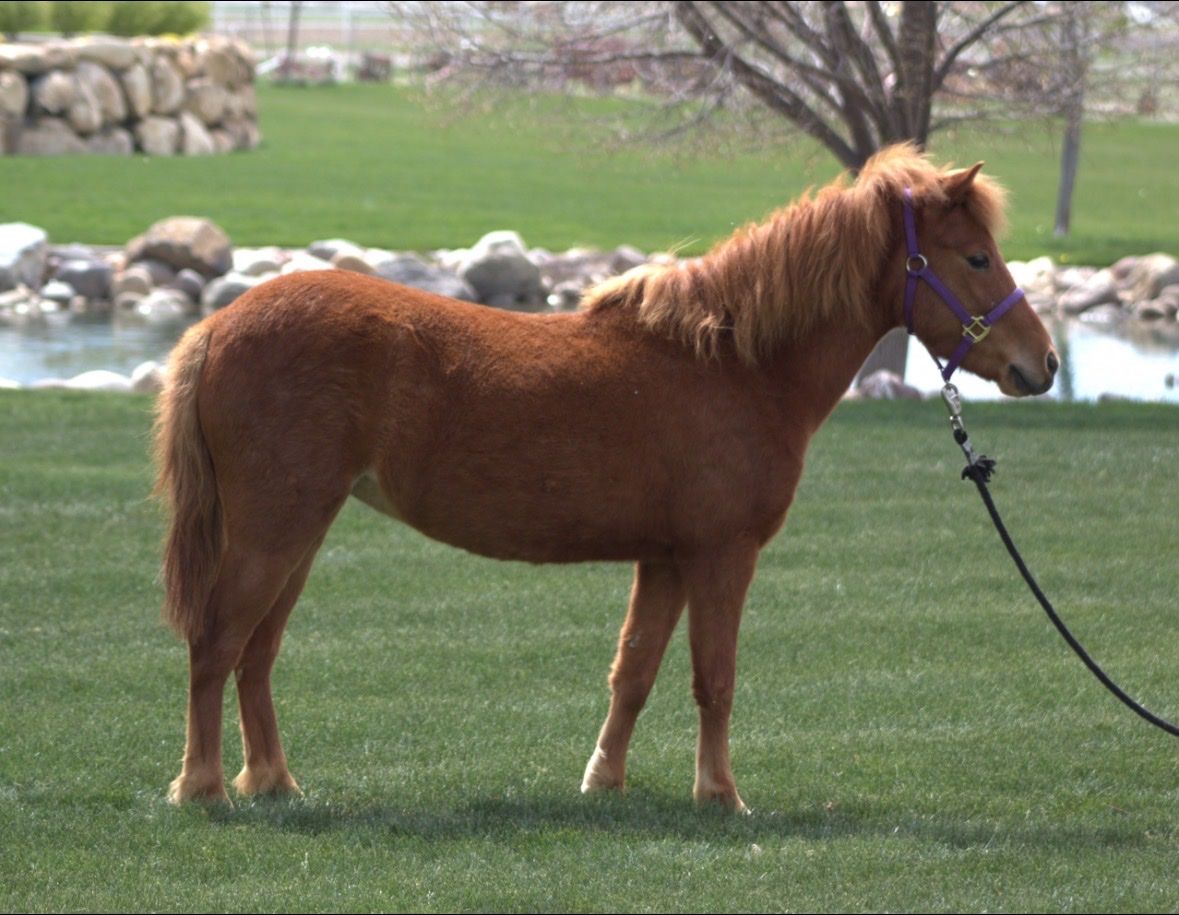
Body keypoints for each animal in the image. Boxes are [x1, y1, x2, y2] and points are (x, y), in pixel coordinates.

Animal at [154, 144, 1058, 811]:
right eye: (976, 256)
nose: (1042, 363)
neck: (734, 363)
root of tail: (219, 324)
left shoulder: (663, 558)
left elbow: (634, 671)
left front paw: (605, 781)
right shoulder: (721, 555)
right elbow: (713, 678)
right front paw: (720, 795)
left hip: (300, 531)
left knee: (256, 652)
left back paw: (272, 781)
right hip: (275, 531)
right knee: (217, 642)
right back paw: (203, 788)